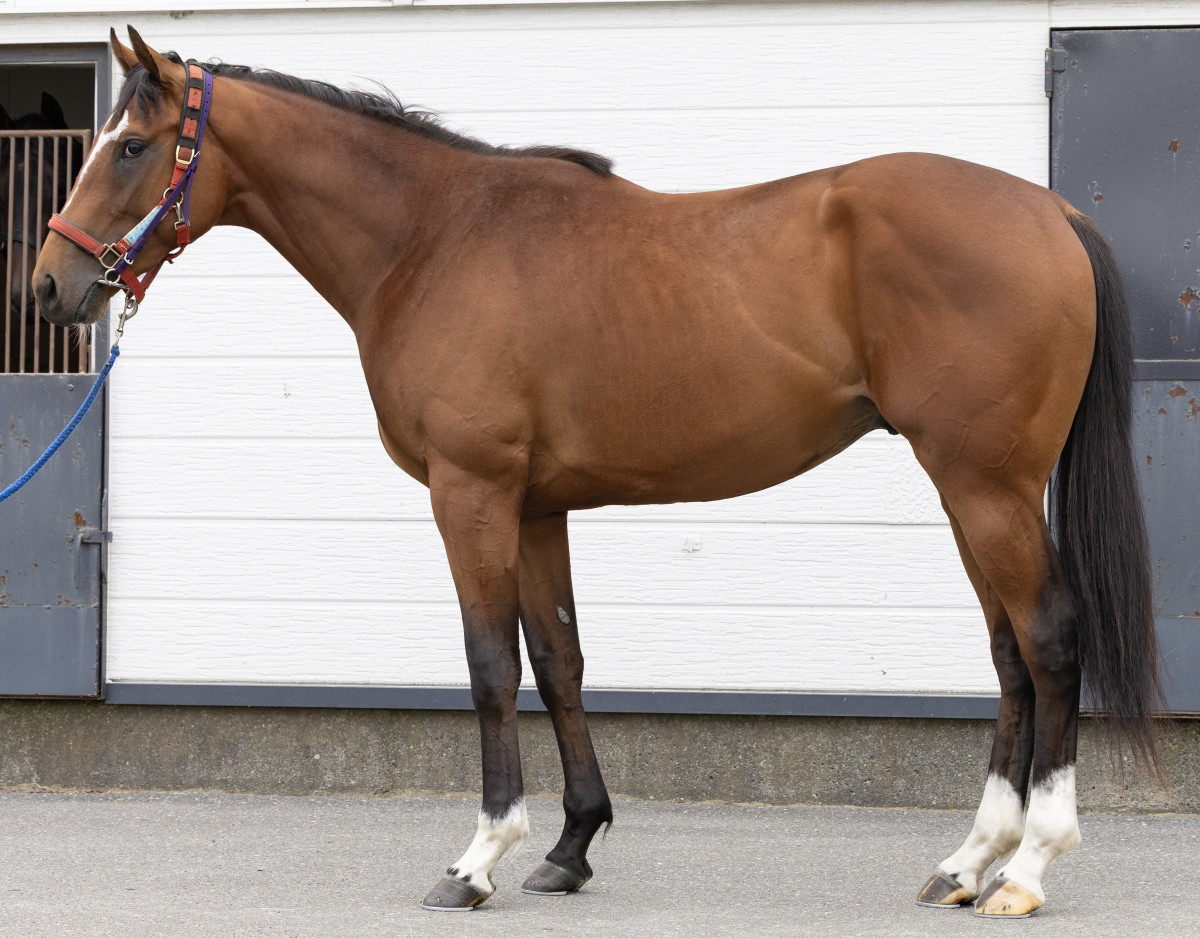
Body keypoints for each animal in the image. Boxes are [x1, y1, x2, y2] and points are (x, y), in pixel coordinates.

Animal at [32, 27, 1161, 919]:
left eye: (129, 147)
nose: (51, 286)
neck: (431, 238)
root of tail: (1050, 214)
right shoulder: (537, 506)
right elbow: (559, 659)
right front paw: (571, 847)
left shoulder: (472, 492)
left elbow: (491, 663)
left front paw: (478, 859)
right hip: (971, 490)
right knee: (1009, 652)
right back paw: (968, 861)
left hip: (985, 484)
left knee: (1050, 637)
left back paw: (1030, 867)